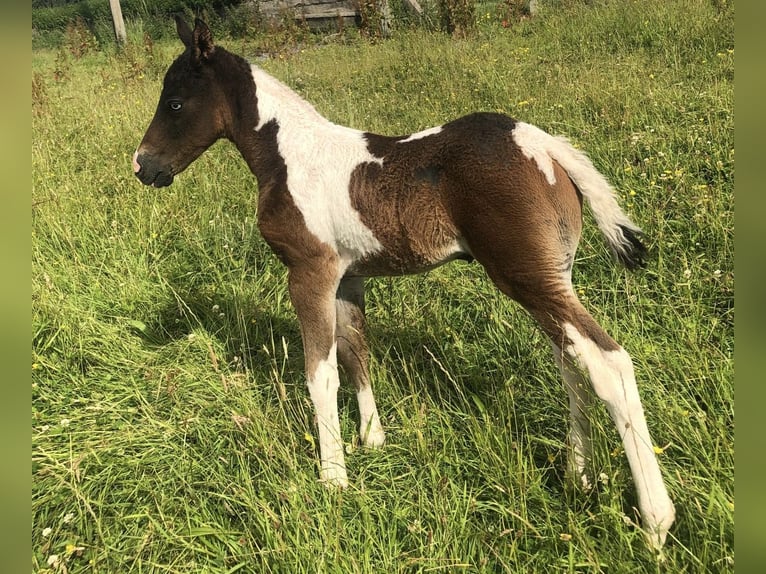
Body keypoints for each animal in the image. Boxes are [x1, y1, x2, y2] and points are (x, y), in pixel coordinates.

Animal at [133, 17, 675, 549]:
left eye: (175, 102)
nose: (142, 165)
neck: (289, 157)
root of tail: (538, 141)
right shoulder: (348, 278)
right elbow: (355, 350)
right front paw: (372, 440)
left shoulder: (309, 272)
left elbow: (319, 372)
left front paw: (333, 479)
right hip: (550, 276)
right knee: (571, 363)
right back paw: (577, 476)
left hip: (526, 277)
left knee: (608, 363)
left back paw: (655, 521)